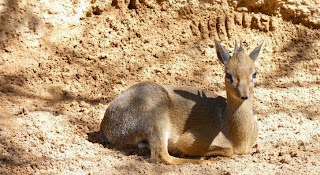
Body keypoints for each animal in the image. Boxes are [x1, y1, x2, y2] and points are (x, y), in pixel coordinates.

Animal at [100, 39, 264, 165]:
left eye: (254, 73)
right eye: (228, 74)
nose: (244, 95)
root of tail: (106, 125)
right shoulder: (189, 139)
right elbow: (229, 151)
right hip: (157, 119)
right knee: (161, 156)